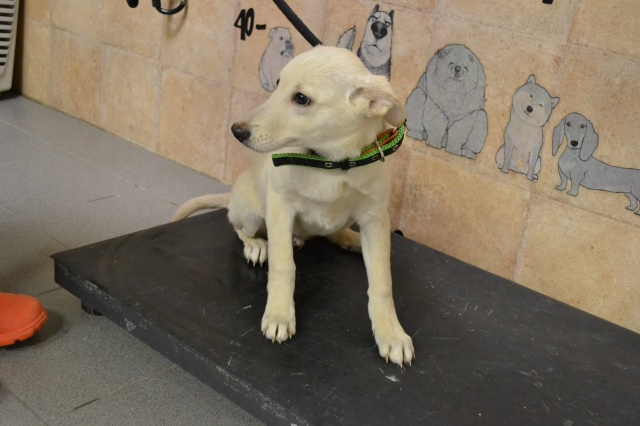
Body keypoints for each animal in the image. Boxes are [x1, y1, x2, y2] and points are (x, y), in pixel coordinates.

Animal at [173, 46, 414, 366]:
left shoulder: (375, 218)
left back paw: (349, 238)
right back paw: (256, 245)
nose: (237, 130)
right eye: (276, 84)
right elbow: (283, 266)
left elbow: (382, 284)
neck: (332, 166)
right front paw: (279, 314)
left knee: (331, 232)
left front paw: (391, 333)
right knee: (238, 226)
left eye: (301, 98)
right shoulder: (280, 207)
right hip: (249, 211)